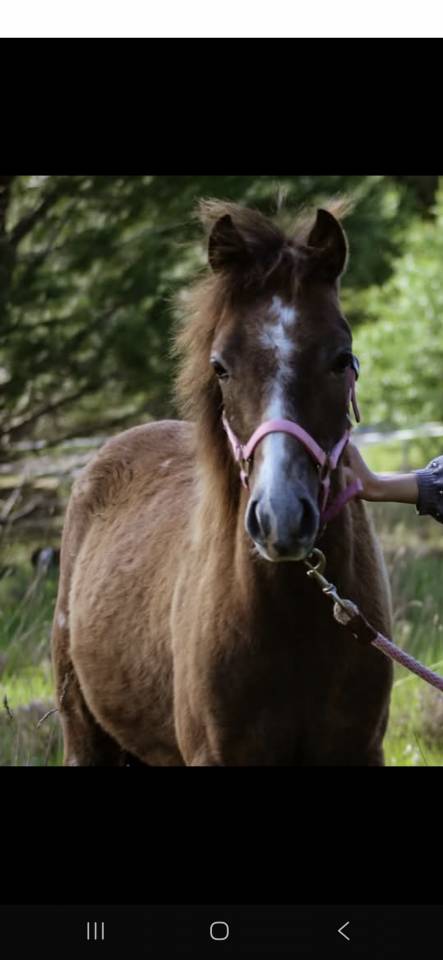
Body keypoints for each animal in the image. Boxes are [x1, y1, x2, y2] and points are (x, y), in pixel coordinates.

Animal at [51, 198, 393, 766]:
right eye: (221, 366)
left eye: (341, 358)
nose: (281, 518)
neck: (295, 624)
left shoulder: (359, 751)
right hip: (85, 736)